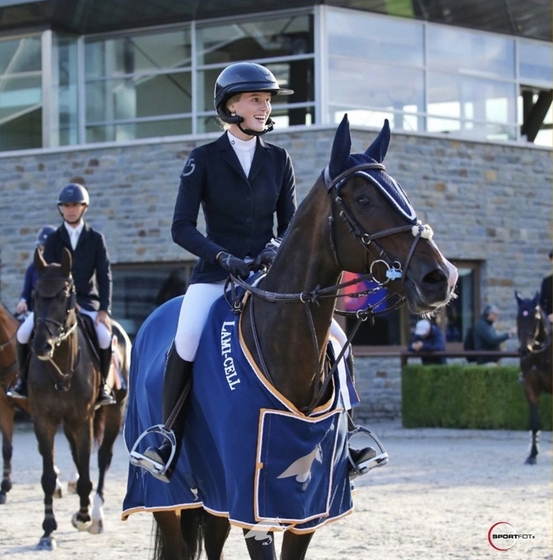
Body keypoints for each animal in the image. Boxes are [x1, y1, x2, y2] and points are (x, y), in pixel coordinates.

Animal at [124, 115, 458, 560]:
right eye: (364, 200)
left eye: (402, 192)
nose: (441, 278)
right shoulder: (252, 502)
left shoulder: (310, 505)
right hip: (164, 494)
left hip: (213, 494)